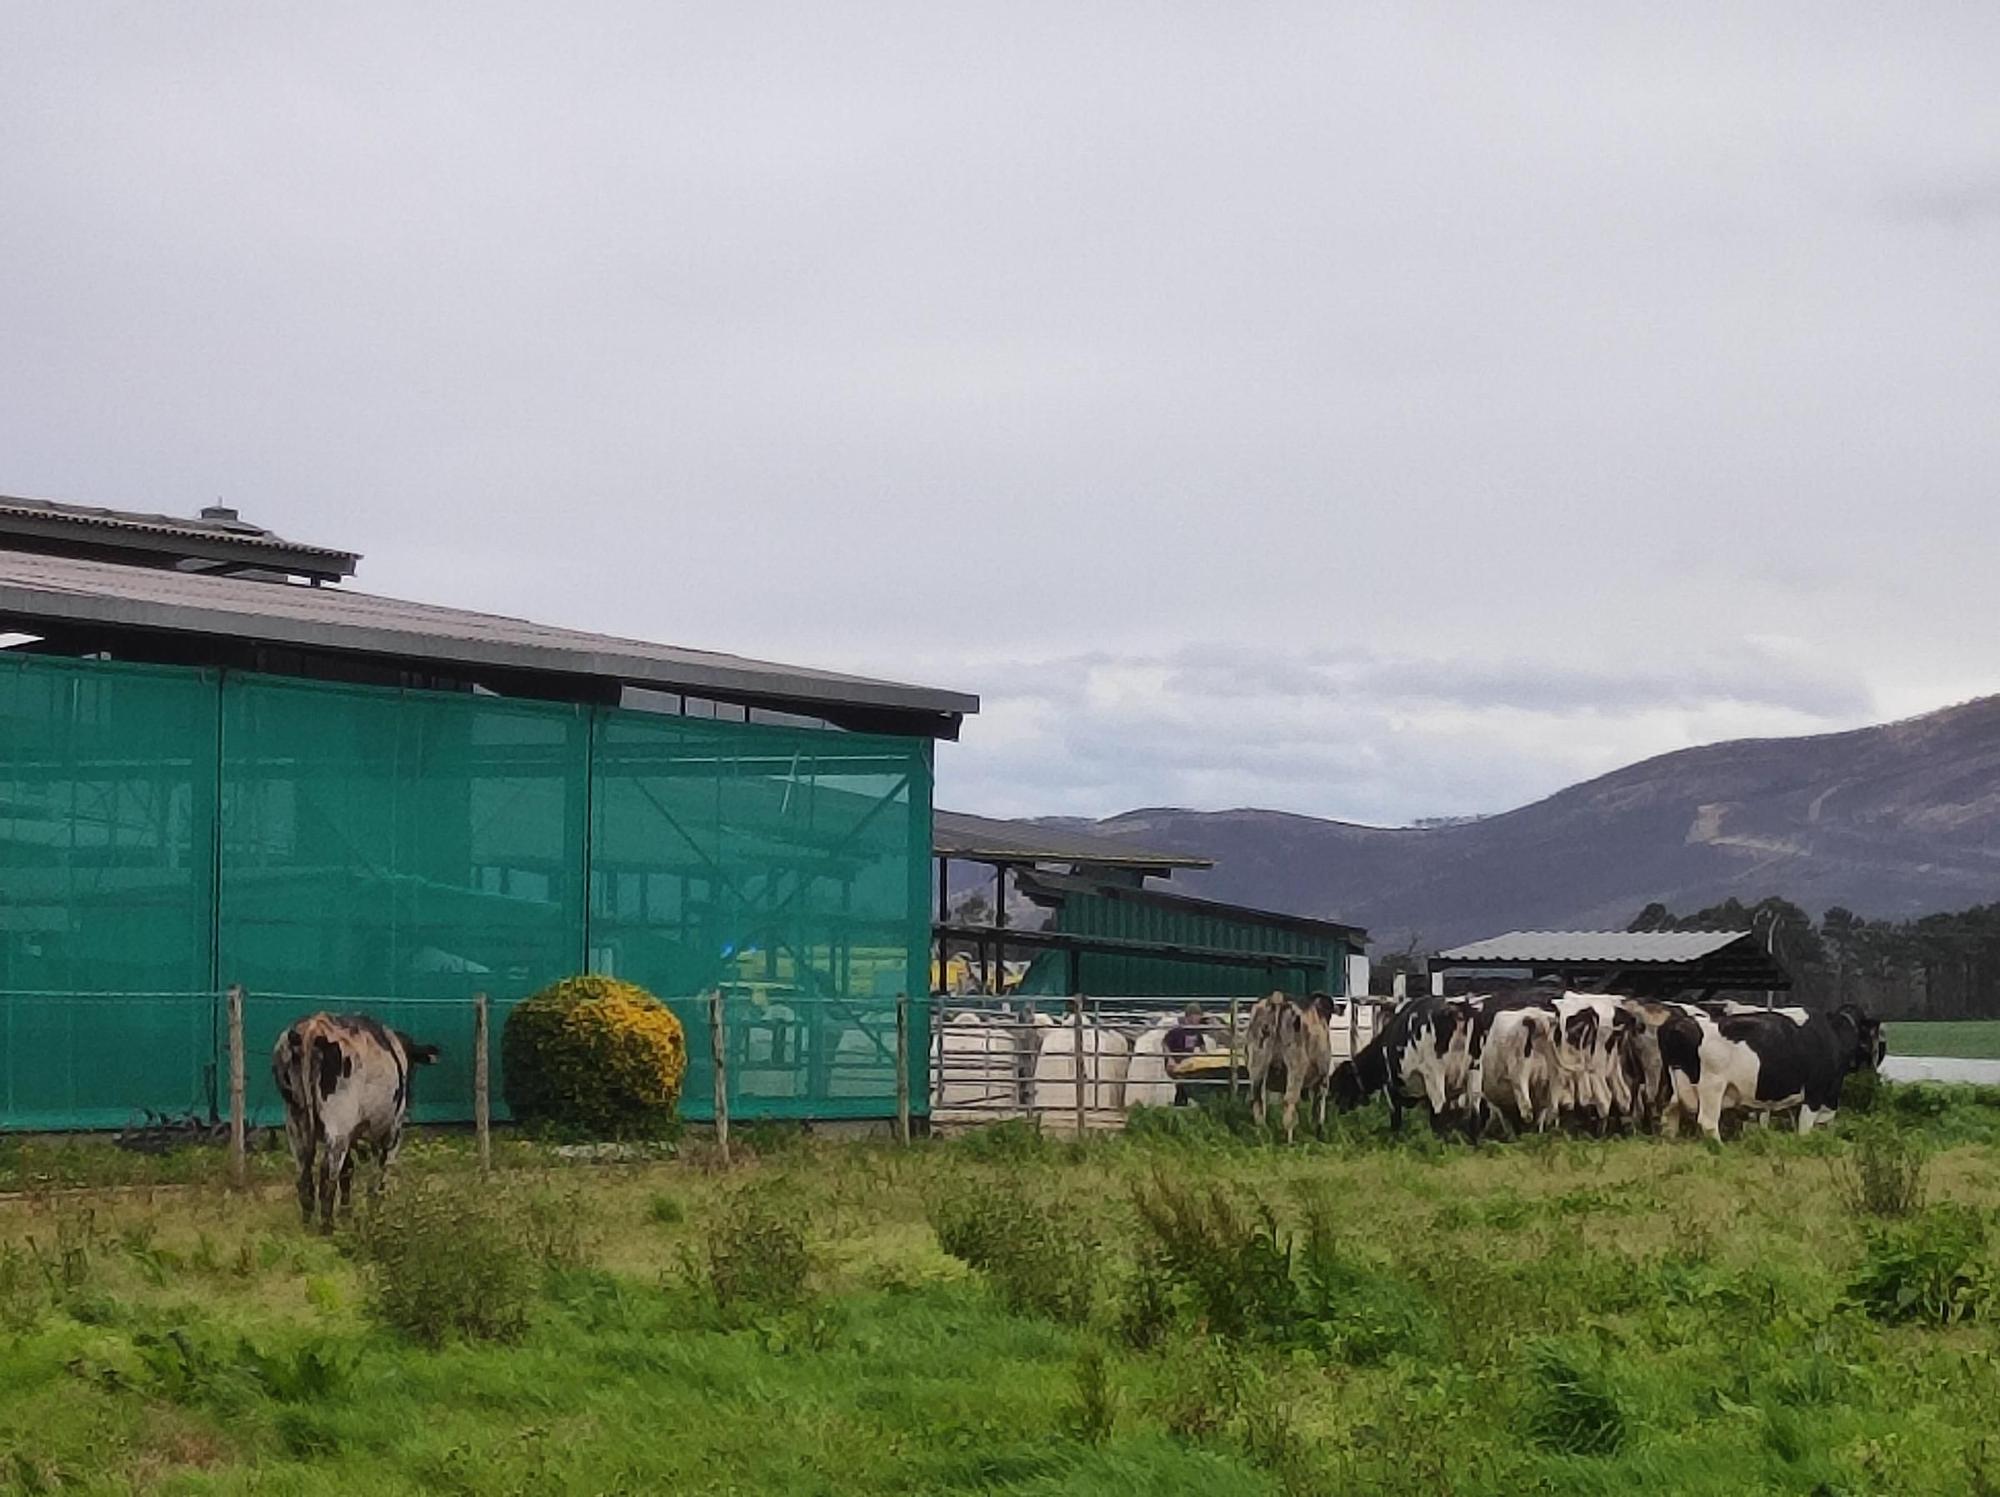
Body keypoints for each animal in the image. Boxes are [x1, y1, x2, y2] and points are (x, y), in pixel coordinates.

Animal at [274, 1012, 438, 1232]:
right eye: (412, 1066)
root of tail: (314, 1027)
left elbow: (348, 1171)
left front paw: (347, 1215)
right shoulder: (392, 1132)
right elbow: (379, 1176)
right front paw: (375, 1217)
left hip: (295, 1123)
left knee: (304, 1179)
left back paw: (307, 1228)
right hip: (338, 1127)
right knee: (327, 1180)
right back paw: (327, 1230)